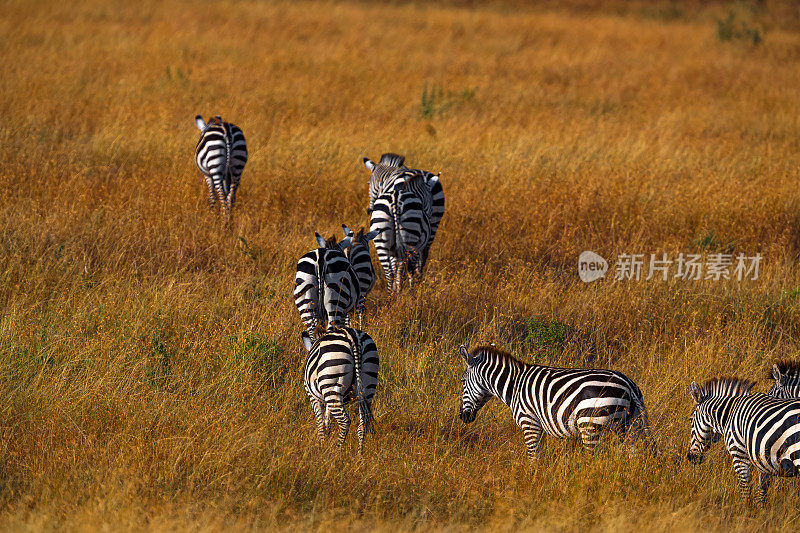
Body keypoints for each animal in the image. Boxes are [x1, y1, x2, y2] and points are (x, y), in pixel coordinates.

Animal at [302, 324, 380, 454]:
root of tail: (354, 338)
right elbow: (326, 420)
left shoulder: (313, 397)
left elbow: (320, 423)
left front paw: (321, 447)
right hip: (368, 381)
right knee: (363, 423)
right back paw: (359, 455)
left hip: (332, 381)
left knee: (344, 421)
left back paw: (338, 453)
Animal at [360, 154, 444, 294]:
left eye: (368, 183)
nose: (369, 210)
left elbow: (396, 266)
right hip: (423, 234)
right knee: (415, 261)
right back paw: (409, 288)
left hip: (384, 238)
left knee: (391, 270)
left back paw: (394, 294)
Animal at [456, 342, 648, 460]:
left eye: (463, 382)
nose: (462, 417)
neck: (514, 385)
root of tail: (628, 385)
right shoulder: (538, 425)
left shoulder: (529, 422)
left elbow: (533, 457)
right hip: (631, 426)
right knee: (634, 455)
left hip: (590, 425)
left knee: (592, 459)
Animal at [684, 376, 800, 504]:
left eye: (690, 419)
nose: (690, 457)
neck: (729, 415)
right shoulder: (764, 460)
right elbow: (761, 492)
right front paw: (759, 508)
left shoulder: (739, 452)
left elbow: (745, 489)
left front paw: (743, 508)